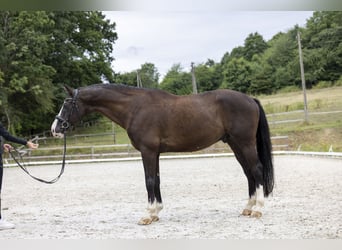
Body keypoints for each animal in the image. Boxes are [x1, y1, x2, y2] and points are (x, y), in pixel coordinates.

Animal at [50, 83, 274, 225]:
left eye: (67, 104)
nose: (55, 129)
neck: (135, 108)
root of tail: (250, 99)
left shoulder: (148, 151)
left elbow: (149, 180)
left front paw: (148, 215)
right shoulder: (154, 153)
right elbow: (156, 180)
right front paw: (156, 212)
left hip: (245, 143)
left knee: (257, 170)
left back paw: (258, 209)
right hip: (235, 144)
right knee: (249, 173)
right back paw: (248, 207)